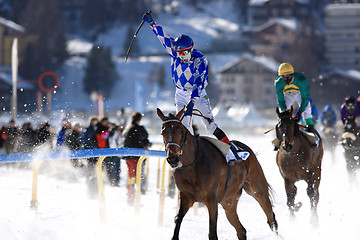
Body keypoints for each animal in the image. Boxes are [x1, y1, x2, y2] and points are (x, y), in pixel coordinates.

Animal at [156, 108, 278, 240]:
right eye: (163, 132)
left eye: (180, 130)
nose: (173, 159)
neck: (192, 165)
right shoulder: (185, 197)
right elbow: (178, 220)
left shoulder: (211, 199)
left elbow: (212, 232)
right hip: (229, 202)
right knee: (241, 230)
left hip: (258, 189)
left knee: (271, 219)